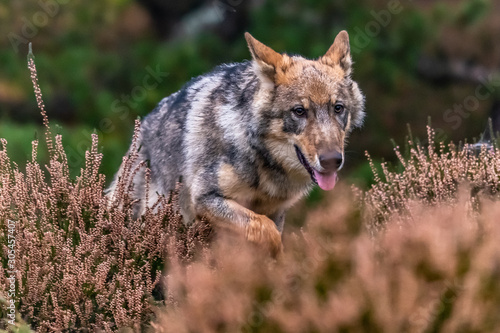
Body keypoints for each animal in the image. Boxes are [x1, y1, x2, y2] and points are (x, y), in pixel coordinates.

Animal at [108, 30, 364, 254]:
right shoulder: (205, 199)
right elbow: (266, 230)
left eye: (338, 108)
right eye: (299, 111)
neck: (263, 160)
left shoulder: (277, 211)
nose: (332, 161)